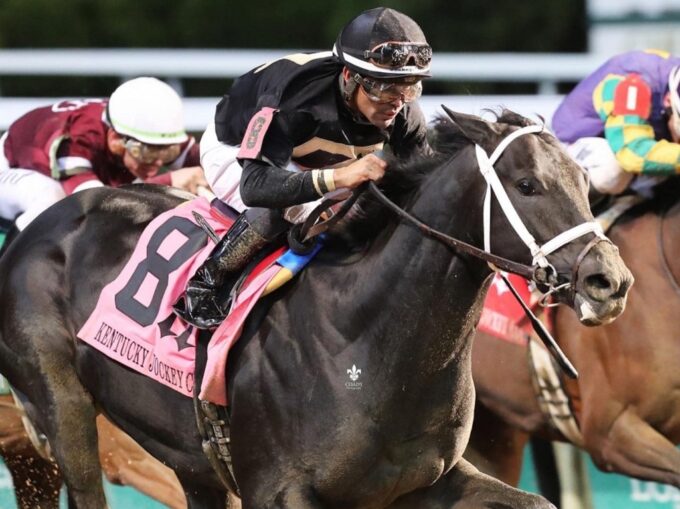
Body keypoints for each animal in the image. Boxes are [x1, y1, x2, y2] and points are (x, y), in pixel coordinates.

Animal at [0, 109, 632, 506]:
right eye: (526, 185)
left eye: (583, 180)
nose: (610, 280)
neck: (366, 345)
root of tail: (36, 231)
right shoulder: (279, 491)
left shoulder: (427, 481)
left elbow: (537, 503)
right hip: (63, 412)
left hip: (189, 459)